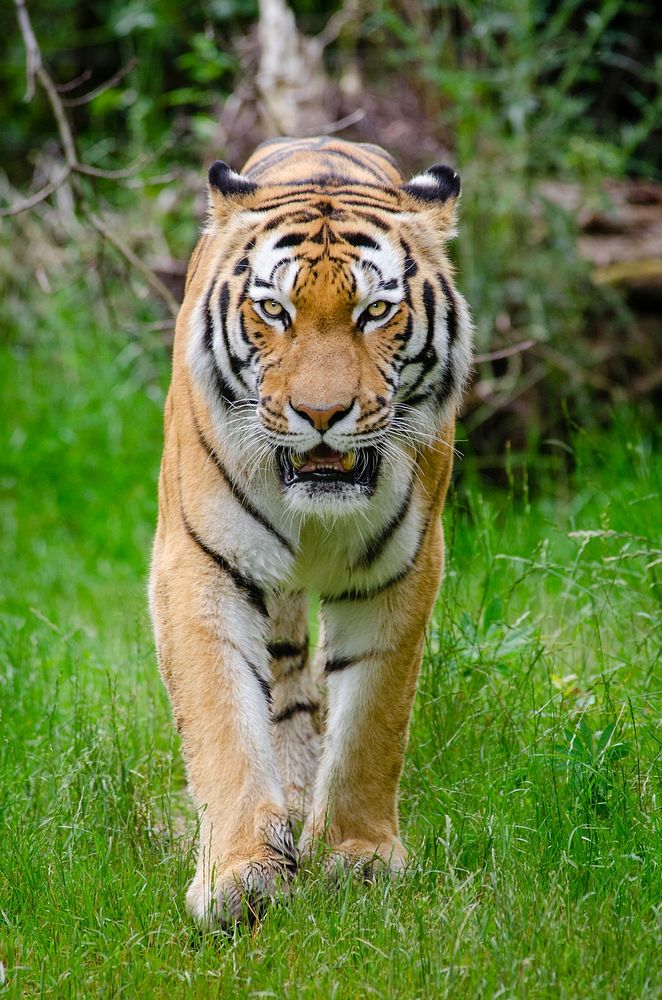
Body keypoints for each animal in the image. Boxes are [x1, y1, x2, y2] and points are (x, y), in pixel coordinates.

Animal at [150, 135, 472, 928]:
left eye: (376, 310)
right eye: (275, 309)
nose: (321, 414)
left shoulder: (402, 572)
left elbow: (370, 722)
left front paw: (357, 857)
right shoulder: (199, 565)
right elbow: (224, 720)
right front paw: (241, 875)